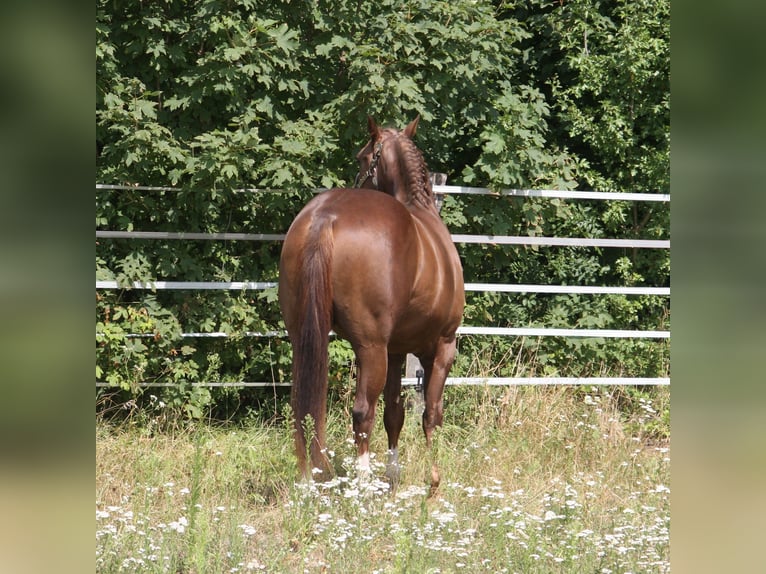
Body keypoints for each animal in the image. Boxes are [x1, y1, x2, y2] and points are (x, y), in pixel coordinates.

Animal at [278, 115, 464, 491]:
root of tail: (327, 215)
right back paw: (363, 484)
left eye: (362, 158)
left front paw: (394, 474)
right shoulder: (442, 347)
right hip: (371, 347)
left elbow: (396, 412)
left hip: (306, 338)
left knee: (304, 411)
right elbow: (431, 413)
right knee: (363, 410)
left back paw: (309, 480)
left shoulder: (397, 350)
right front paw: (433, 477)